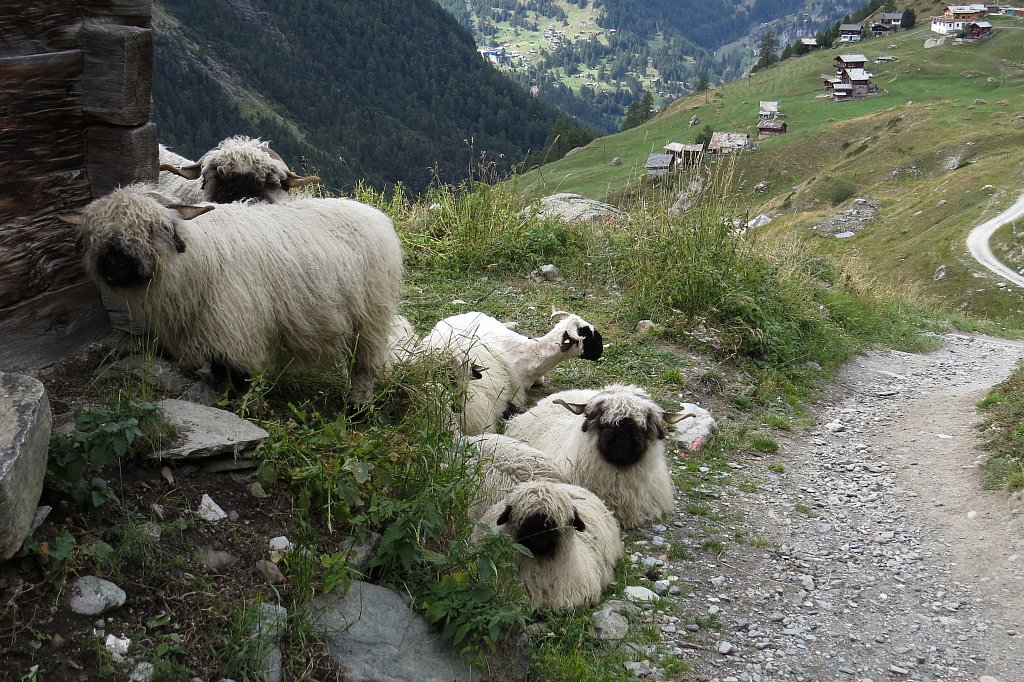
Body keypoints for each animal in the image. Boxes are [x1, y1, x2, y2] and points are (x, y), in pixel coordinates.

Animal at [59, 184, 403, 403]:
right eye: (94, 234)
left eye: (151, 229)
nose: (114, 265)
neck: (196, 261)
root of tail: (375, 215)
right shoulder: (209, 329)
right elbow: (219, 373)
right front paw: (222, 400)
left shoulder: (238, 329)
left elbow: (242, 379)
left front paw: (249, 410)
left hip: (371, 315)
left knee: (365, 367)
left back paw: (357, 409)